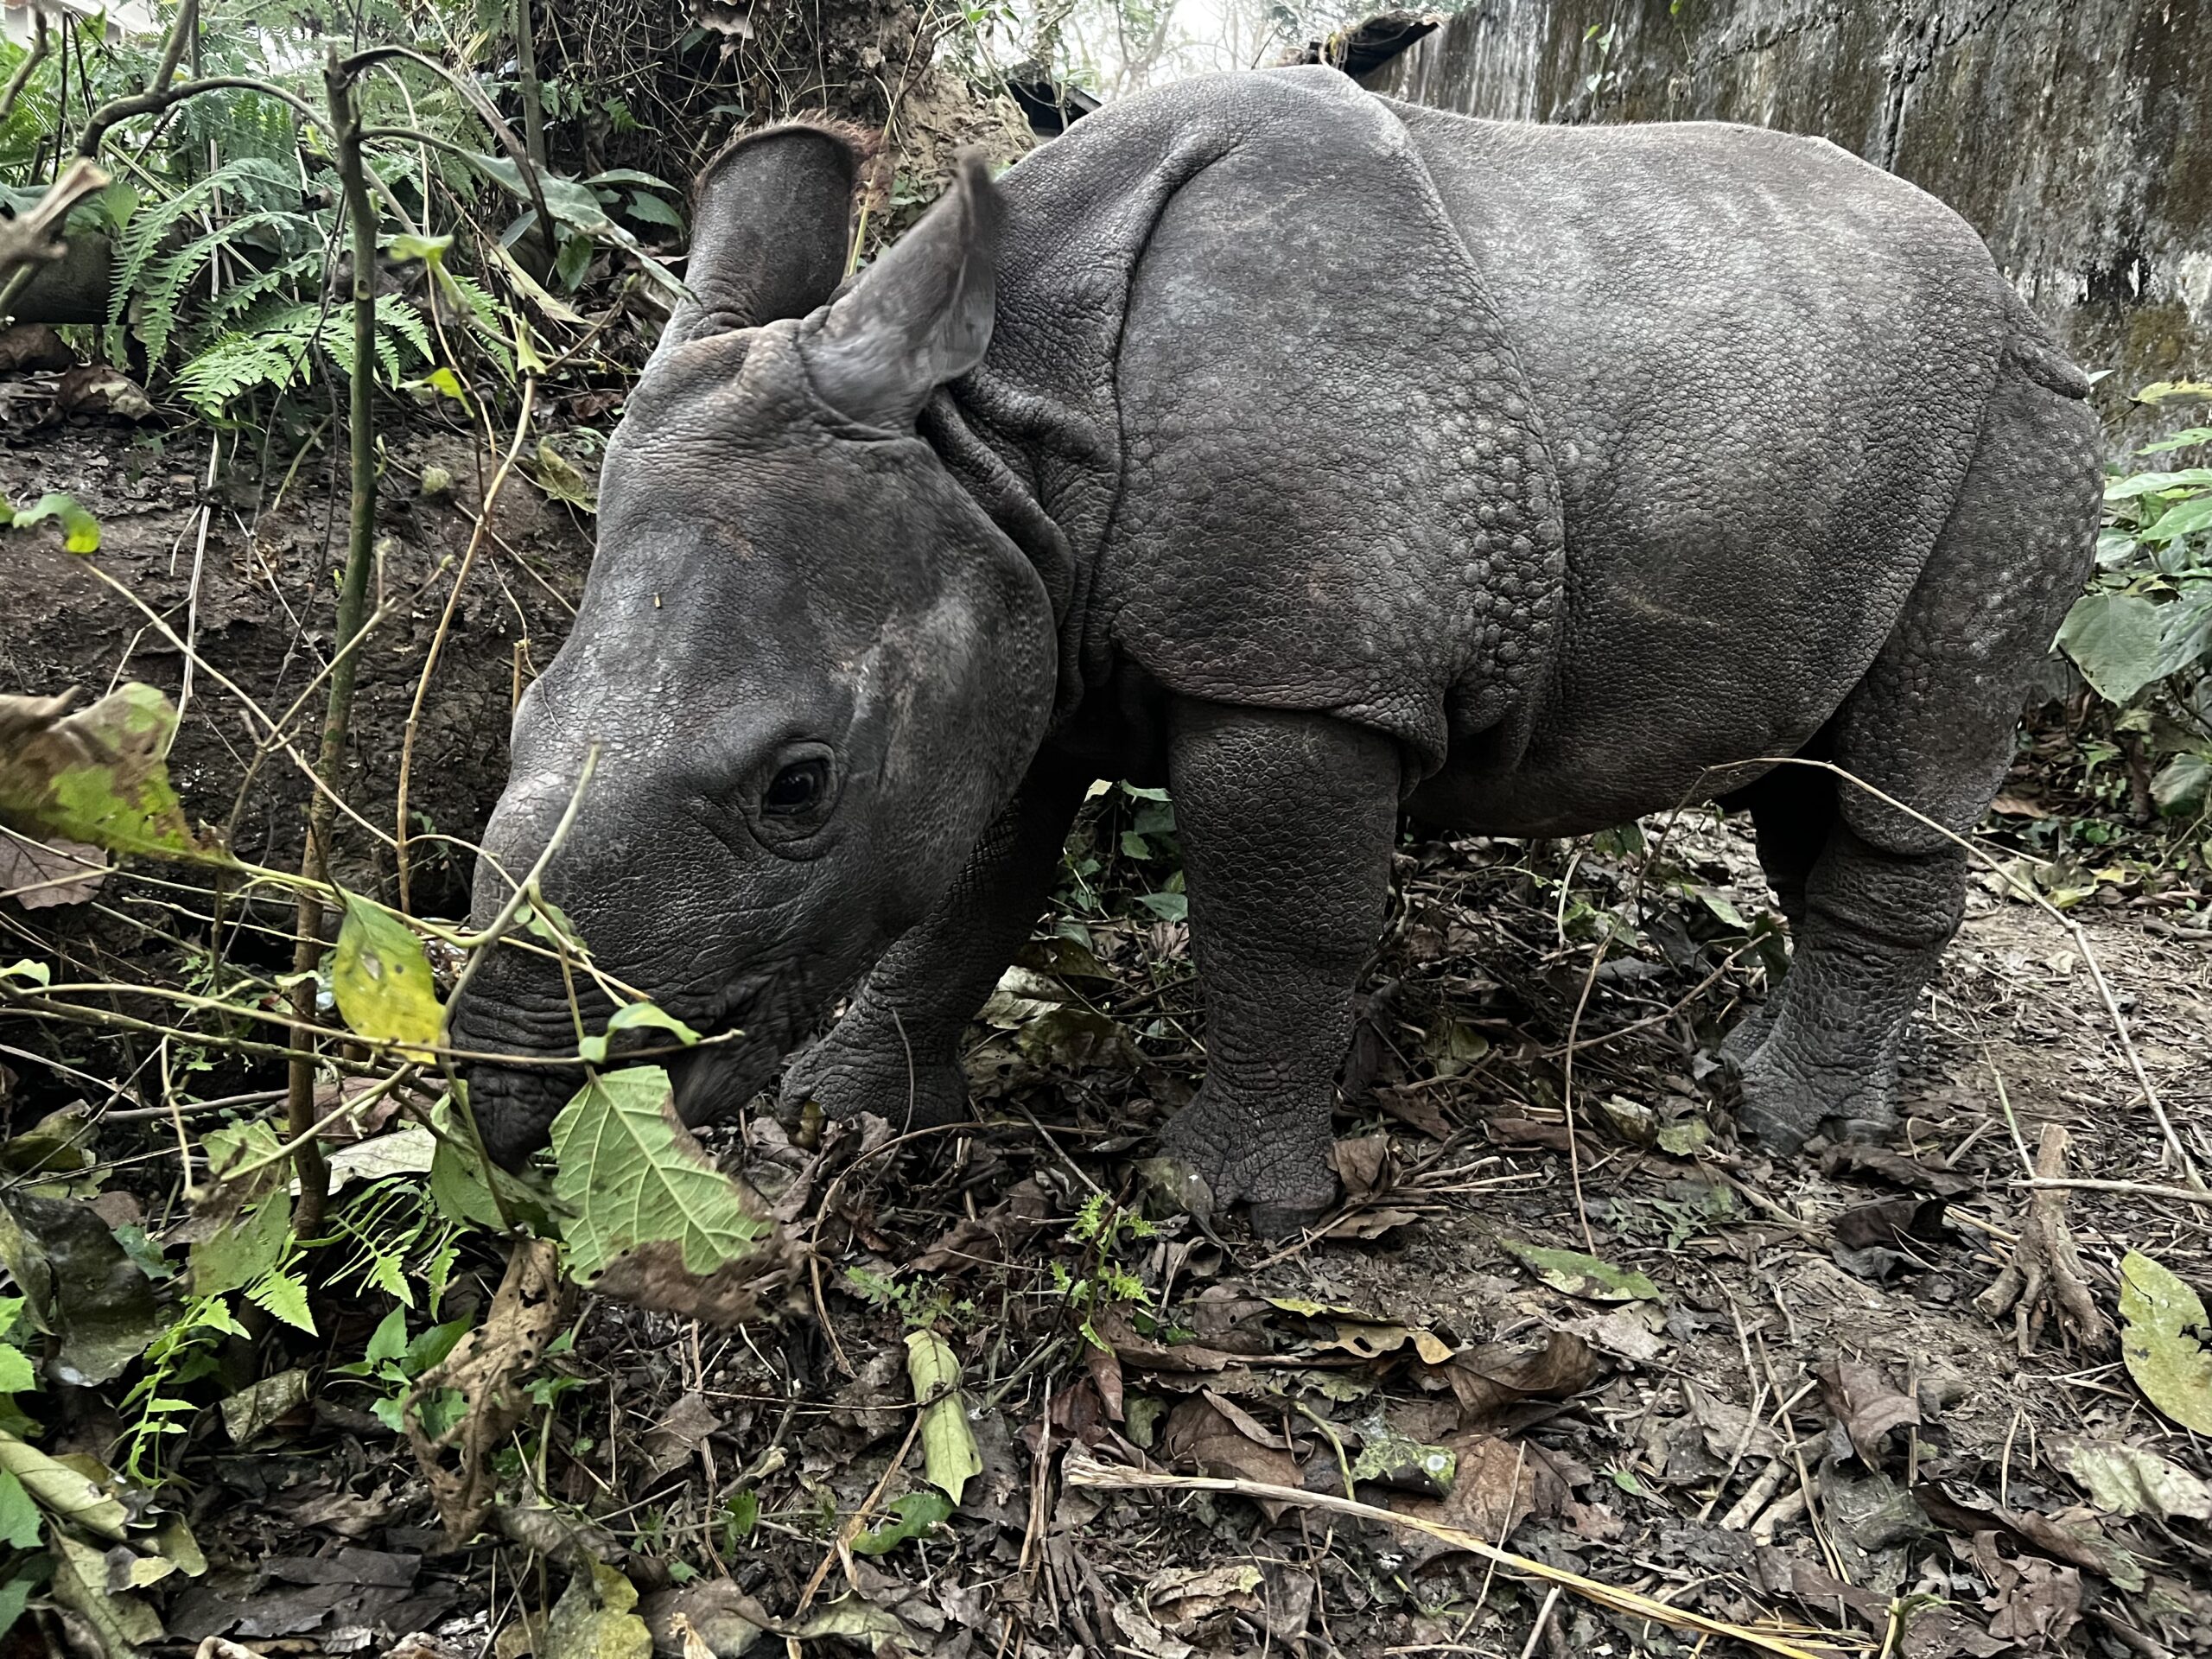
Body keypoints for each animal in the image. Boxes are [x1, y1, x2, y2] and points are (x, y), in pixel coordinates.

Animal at [450, 68, 2100, 1232]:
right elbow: (963, 889)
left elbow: (1274, 926)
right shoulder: (1011, 620)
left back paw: (1791, 1125)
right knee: (1810, 778)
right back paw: (1771, 1070)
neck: (1001, 432)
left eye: (795, 788)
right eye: (514, 729)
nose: (513, 1114)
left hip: (2019, 419)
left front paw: (1224, 1203)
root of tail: (2017, 283)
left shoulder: (1303, 678)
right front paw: (850, 1108)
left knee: (1909, 763)